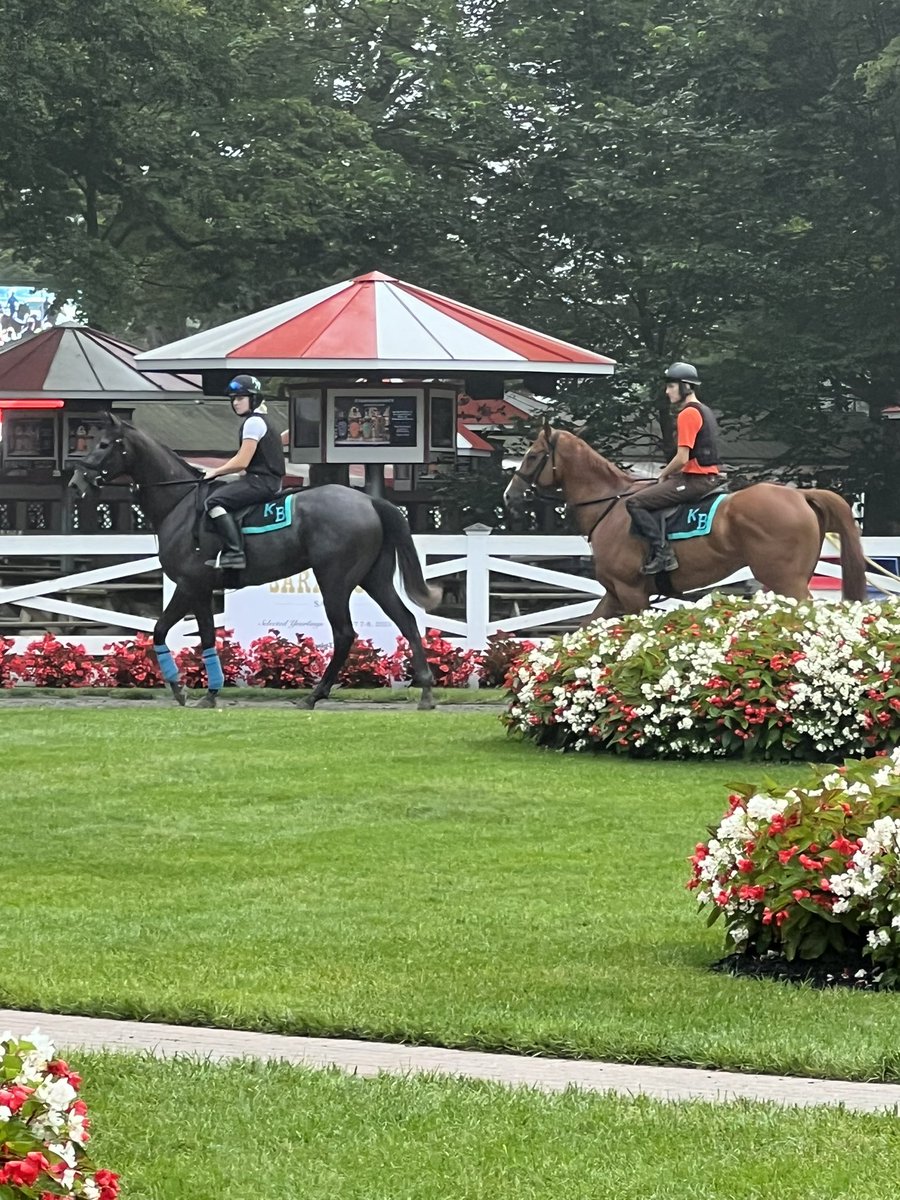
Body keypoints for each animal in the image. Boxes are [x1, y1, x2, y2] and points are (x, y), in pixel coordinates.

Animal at [68, 417, 441, 705]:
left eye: (103, 444)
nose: (76, 483)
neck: (181, 502)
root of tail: (368, 501)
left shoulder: (192, 586)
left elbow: (192, 635)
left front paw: (200, 692)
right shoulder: (193, 589)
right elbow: (171, 633)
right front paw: (187, 689)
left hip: (335, 581)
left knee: (345, 633)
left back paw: (315, 695)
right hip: (374, 578)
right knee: (407, 621)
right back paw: (425, 693)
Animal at [504, 427, 868, 619]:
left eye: (532, 456)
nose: (510, 495)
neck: (610, 505)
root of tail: (800, 495)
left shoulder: (631, 592)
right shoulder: (614, 593)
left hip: (786, 580)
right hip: (786, 580)